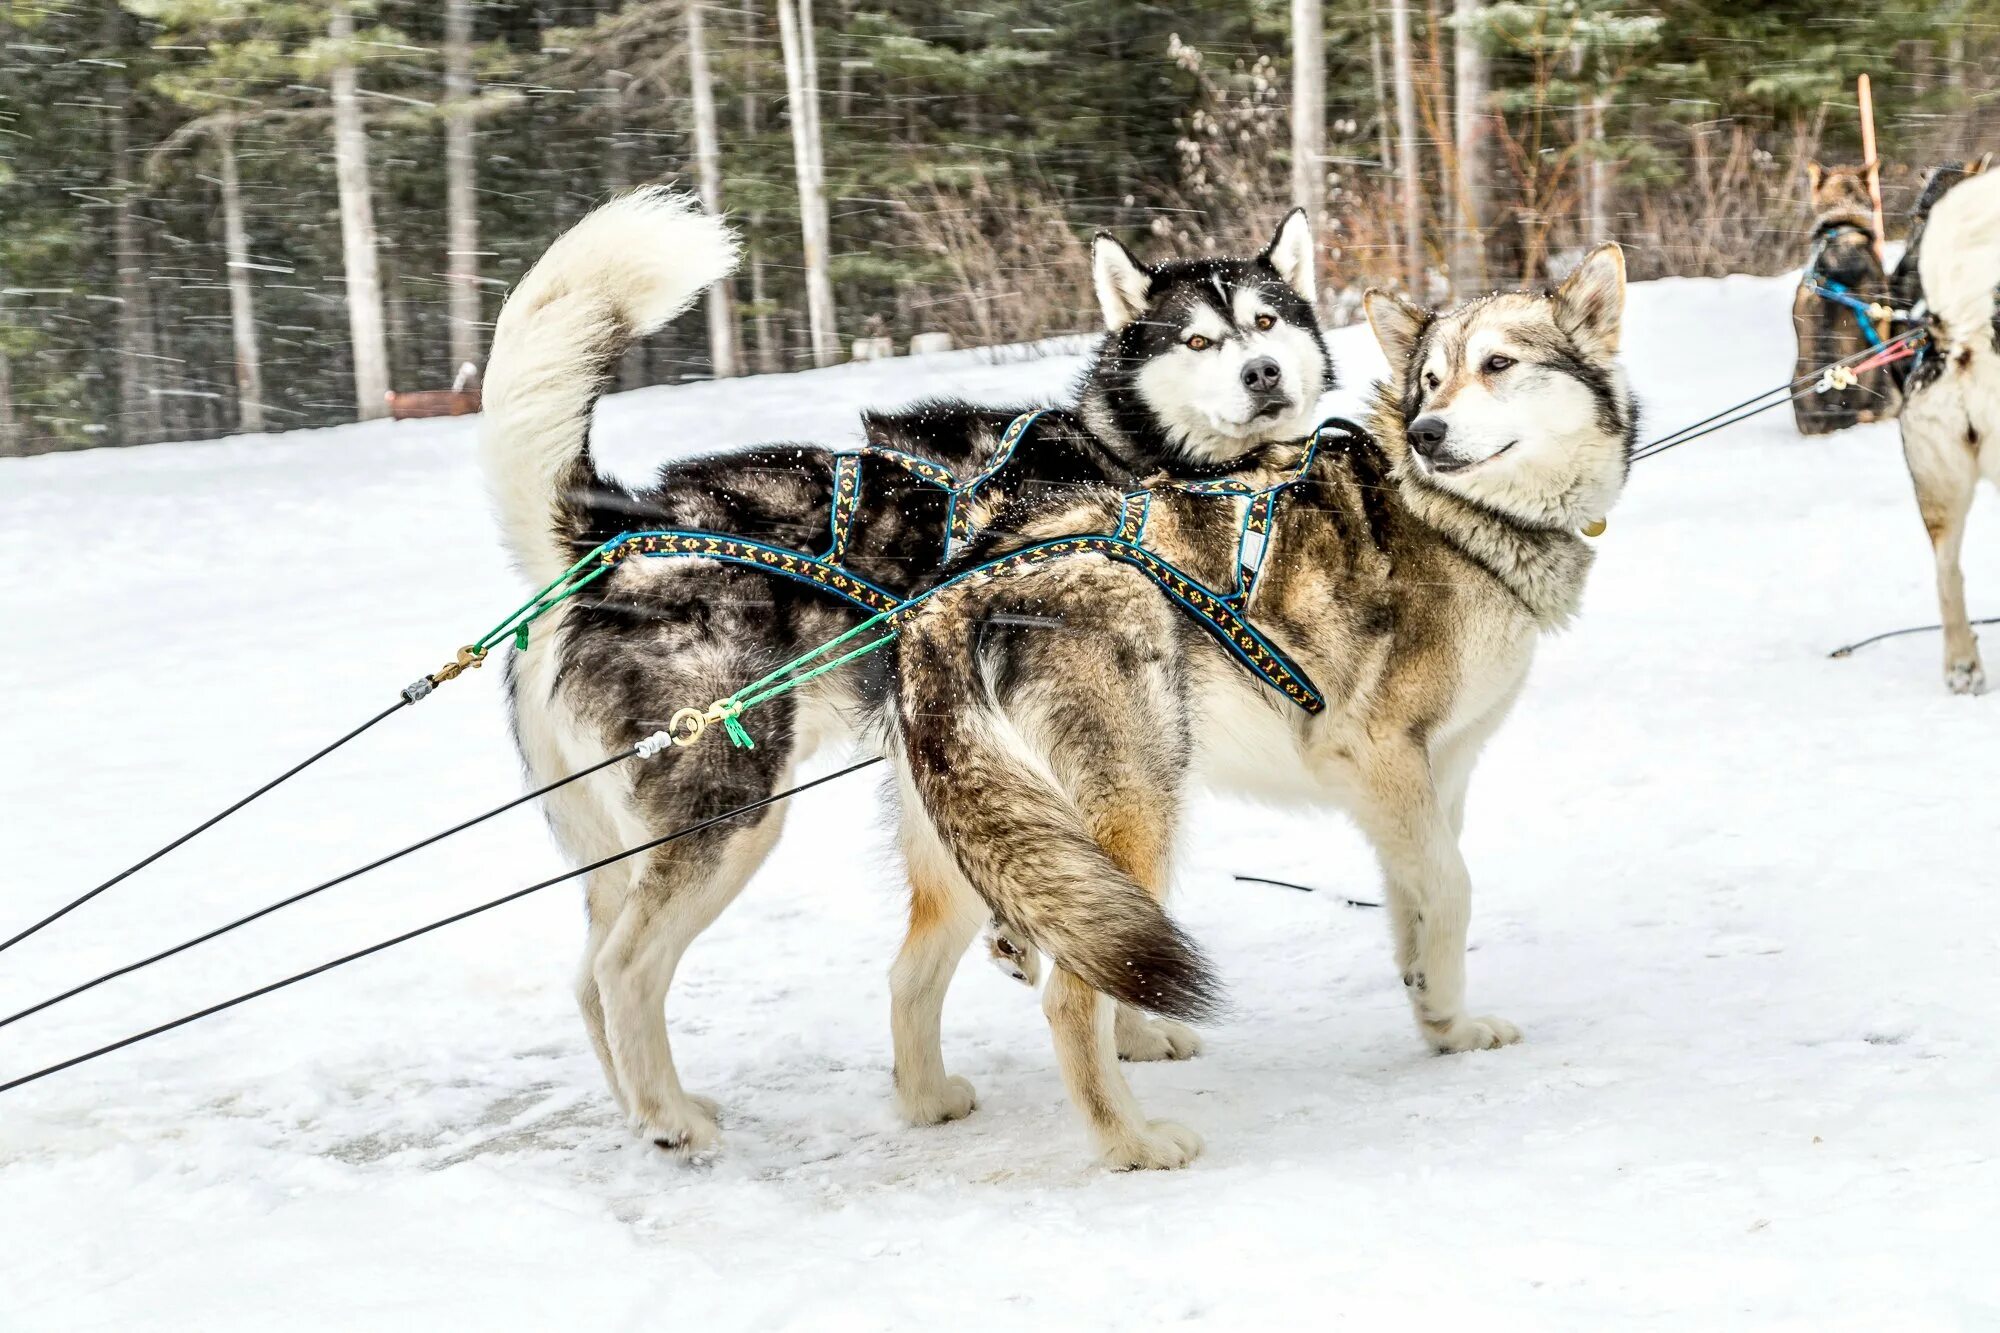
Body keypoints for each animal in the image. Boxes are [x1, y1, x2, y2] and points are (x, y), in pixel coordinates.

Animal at [476, 187, 1336, 1152]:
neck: (1130, 455)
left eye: (1265, 320)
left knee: (588, 974)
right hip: (732, 814)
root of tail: (609, 535)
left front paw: (1133, 1032)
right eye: (1195, 340)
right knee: (624, 968)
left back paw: (642, 1106)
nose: (1263, 372)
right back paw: (672, 1119)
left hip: (618, 845)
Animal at [892, 246, 1640, 1160]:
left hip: (1004, 850)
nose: (1427, 433)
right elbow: (1455, 889)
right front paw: (1442, 1005)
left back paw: (928, 1102)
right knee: (1068, 996)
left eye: (1497, 364)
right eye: (1429, 381)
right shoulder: (1379, 754)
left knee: (909, 972)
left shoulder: (1430, 777)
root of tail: (950, 596)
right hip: (1133, 823)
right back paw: (1131, 1143)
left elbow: (1416, 900)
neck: (1446, 514)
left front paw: (1444, 1022)